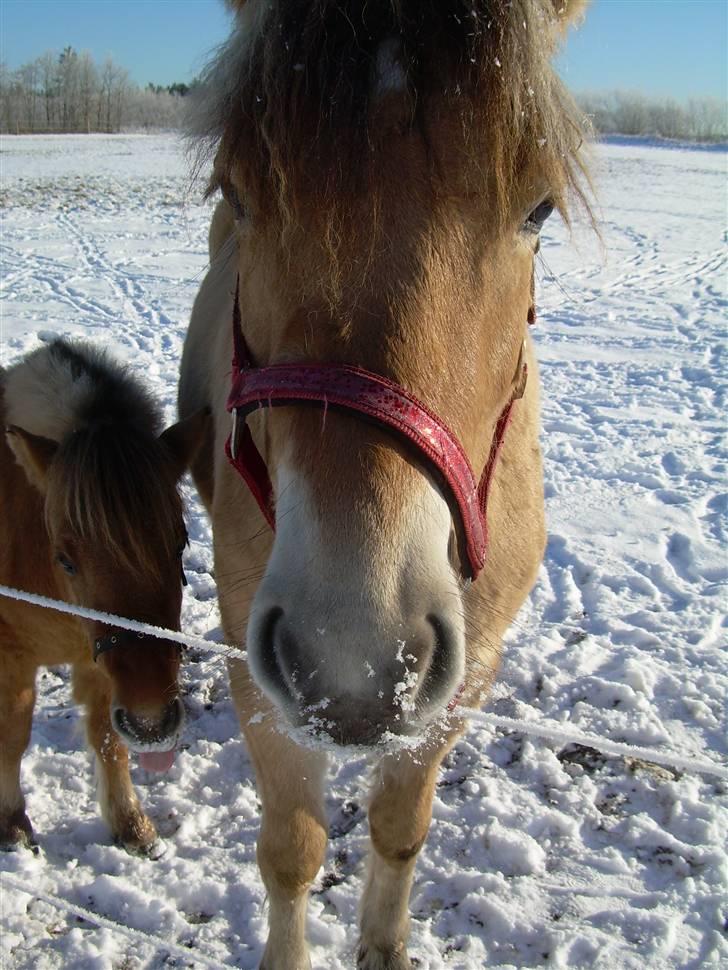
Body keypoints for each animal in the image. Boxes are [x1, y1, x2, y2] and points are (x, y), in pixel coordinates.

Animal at [2, 340, 208, 856]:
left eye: (180, 542)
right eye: (65, 559)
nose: (152, 724)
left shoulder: (98, 663)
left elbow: (107, 738)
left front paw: (130, 823)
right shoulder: (12, 656)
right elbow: (13, 731)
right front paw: (11, 822)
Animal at [181, 3, 592, 964]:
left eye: (539, 207)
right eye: (236, 190)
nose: (353, 659)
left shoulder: (467, 675)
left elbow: (401, 829)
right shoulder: (259, 666)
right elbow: (293, 850)